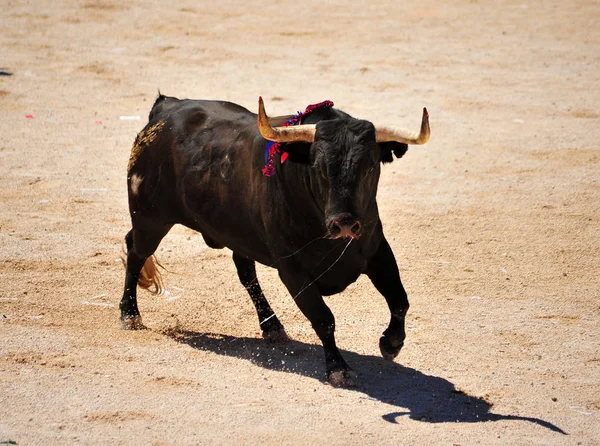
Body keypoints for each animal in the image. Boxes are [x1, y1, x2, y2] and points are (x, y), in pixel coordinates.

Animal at [120, 95, 432, 386]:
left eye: (369, 167)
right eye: (318, 167)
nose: (344, 223)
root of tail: (166, 107)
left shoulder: (377, 250)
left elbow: (399, 300)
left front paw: (391, 343)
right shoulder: (292, 270)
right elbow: (323, 318)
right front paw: (339, 369)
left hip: (236, 232)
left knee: (245, 272)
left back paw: (272, 327)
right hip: (150, 218)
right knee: (136, 253)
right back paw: (129, 315)